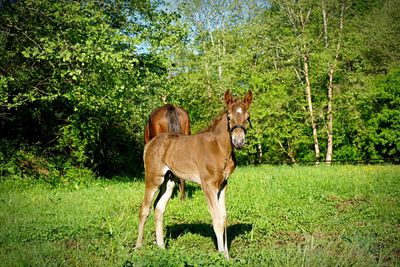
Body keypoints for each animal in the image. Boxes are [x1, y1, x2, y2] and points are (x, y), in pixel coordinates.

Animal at [136, 90, 252, 260]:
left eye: (247, 117)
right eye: (229, 117)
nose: (238, 141)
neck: (219, 148)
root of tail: (150, 143)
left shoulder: (222, 185)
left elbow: (223, 217)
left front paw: (227, 256)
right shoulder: (208, 185)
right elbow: (217, 219)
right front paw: (221, 256)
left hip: (169, 181)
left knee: (159, 207)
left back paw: (161, 247)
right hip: (153, 178)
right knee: (144, 209)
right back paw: (138, 247)